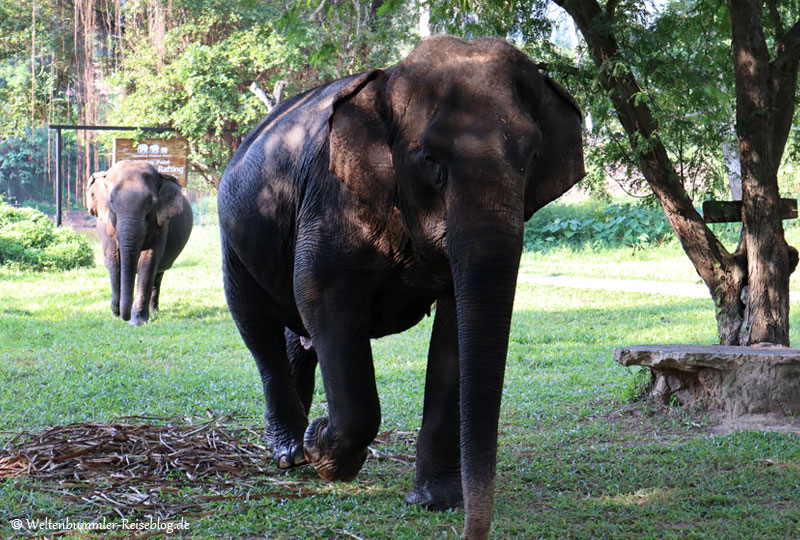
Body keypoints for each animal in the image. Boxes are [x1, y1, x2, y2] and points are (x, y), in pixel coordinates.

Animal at [86, 159, 193, 324]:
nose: (124, 316)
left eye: (150, 203)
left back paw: (154, 310)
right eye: (112, 201)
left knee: (158, 274)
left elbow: (148, 262)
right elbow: (114, 260)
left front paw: (138, 322)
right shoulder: (106, 229)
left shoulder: (161, 226)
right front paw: (116, 313)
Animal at [217, 37, 580, 540]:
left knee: (296, 337)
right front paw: (323, 450)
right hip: (233, 237)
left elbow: (453, 333)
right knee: (258, 329)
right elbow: (321, 299)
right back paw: (290, 452)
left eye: (531, 158)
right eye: (429, 160)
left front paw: (435, 501)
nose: (471, 529)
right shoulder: (330, 203)